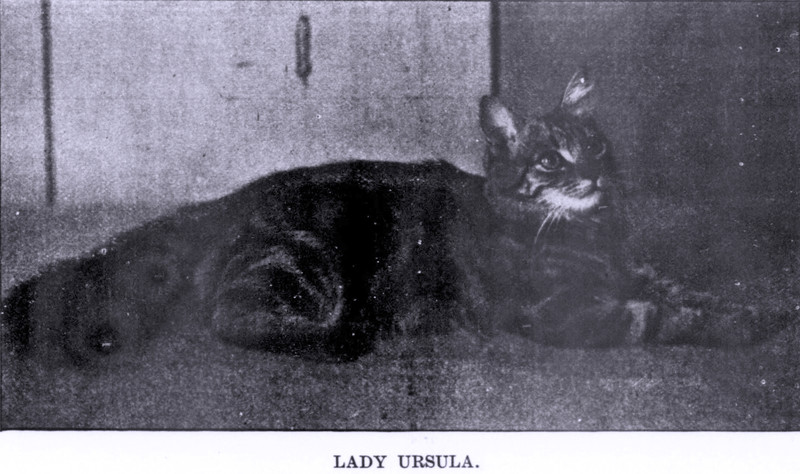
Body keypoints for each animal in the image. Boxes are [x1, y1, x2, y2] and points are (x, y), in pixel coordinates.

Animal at [1, 70, 791, 365]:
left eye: (593, 145)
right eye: (550, 161)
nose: (592, 175)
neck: (592, 235)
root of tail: (226, 202)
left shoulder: (634, 270)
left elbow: (681, 290)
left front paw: (758, 310)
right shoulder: (569, 310)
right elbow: (662, 316)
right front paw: (741, 328)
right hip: (304, 259)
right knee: (234, 321)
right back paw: (352, 334)